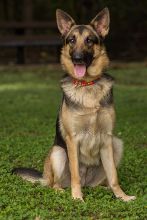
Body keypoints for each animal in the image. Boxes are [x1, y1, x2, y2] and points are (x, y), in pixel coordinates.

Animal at [13, 8, 136, 201]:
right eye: (71, 40)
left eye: (89, 40)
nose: (78, 58)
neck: (87, 85)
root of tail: (44, 176)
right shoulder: (72, 140)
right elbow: (75, 173)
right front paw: (77, 198)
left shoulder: (107, 139)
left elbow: (113, 176)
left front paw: (122, 196)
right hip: (58, 152)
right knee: (56, 184)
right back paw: (63, 190)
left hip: (117, 144)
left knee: (100, 181)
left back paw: (105, 189)